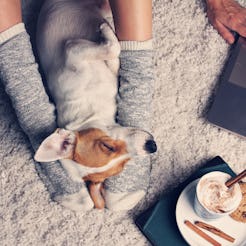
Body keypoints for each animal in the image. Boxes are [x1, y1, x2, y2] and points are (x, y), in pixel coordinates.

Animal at [33, 0, 157, 209]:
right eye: (121, 166)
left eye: (107, 146)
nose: (152, 146)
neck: (91, 110)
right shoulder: (73, 50)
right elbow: (112, 48)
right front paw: (106, 31)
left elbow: (114, 58)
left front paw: (107, 34)